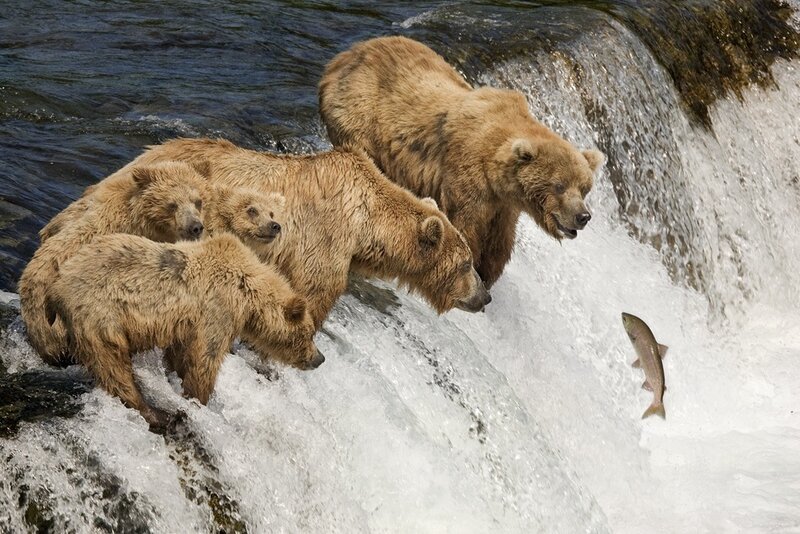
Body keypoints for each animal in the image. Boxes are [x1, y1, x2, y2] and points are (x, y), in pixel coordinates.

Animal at [45, 232, 324, 431]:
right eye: (309, 333)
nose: (319, 358)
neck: (247, 295)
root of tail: (56, 287)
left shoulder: (188, 323)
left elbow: (180, 354)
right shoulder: (218, 310)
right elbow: (204, 359)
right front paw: (200, 400)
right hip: (99, 316)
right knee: (112, 365)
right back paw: (155, 413)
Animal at [79, 137, 492, 329]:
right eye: (466, 264)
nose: (484, 297)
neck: (365, 224)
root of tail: (141, 158)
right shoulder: (324, 239)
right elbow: (315, 290)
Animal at [318, 35, 606, 288]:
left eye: (584, 188)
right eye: (559, 185)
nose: (583, 216)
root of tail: (343, 56)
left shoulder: (504, 206)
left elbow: (499, 245)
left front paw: (488, 274)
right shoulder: (468, 177)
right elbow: (467, 227)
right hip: (359, 116)